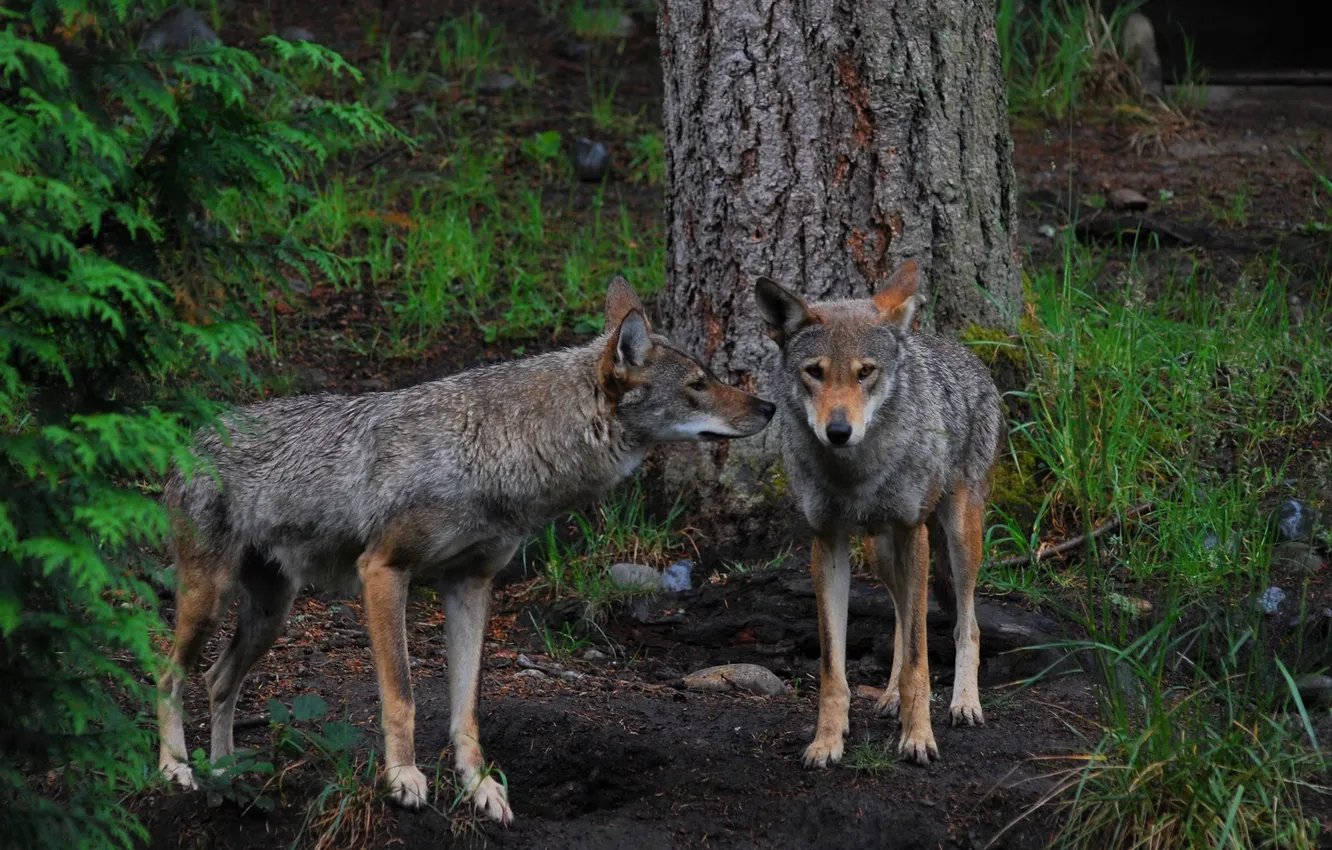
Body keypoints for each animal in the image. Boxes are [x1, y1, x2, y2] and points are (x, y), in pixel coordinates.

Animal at [156, 278, 775, 823]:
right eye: (698, 384)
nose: (769, 406)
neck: (494, 450)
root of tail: (194, 435)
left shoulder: (472, 587)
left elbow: (467, 710)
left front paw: (479, 788)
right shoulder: (383, 572)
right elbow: (402, 696)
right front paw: (403, 779)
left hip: (271, 616)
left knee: (216, 682)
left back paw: (226, 774)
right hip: (211, 602)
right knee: (169, 676)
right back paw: (177, 770)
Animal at [754, 260, 1002, 767]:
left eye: (865, 372)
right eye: (815, 372)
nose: (838, 431)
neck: (856, 474)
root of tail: (961, 351)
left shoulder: (912, 531)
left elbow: (920, 661)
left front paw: (919, 737)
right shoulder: (827, 542)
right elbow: (835, 668)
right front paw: (827, 742)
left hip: (957, 536)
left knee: (966, 624)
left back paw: (964, 703)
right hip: (880, 551)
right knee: (903, 620)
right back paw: (888, 698)